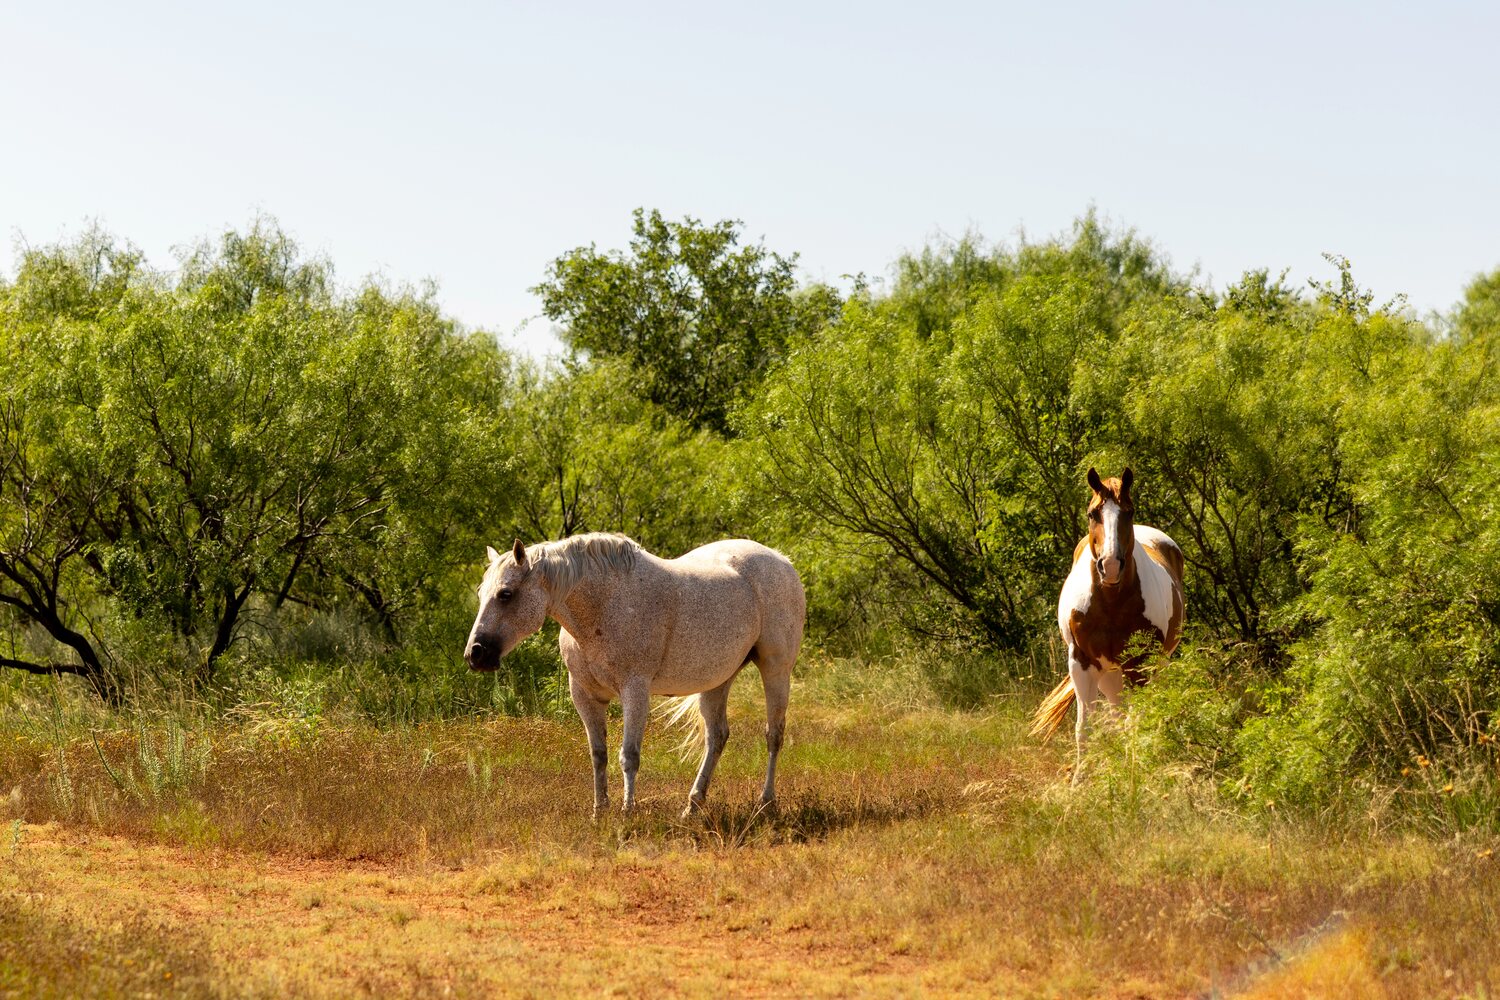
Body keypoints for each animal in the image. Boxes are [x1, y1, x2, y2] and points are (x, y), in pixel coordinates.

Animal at [464, 533, 805, 819]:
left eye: (505, 594)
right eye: (481, 593)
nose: (475, 654)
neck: (603, 607)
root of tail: (782, 560)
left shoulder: (635, 691)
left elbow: (629, 755)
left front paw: (628, 813)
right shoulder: (585, 696)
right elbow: (598, 755)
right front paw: (599, 813)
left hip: (776, 669)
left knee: (773, 735)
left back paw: (766, 803)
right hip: (718, 680)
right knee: (716, 737)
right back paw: (692, 806)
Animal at [1030, 467, 1185, 779]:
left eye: (1129, 511)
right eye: (1093, 513)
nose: (1110, 566)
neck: (1112, 601)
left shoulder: (1139, 665)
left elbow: (1136, 721)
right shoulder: (1081, 663)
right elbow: (1084, 729)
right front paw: (1080, 780)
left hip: (1153, 665)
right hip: (1109, 675)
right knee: (1115, 713)